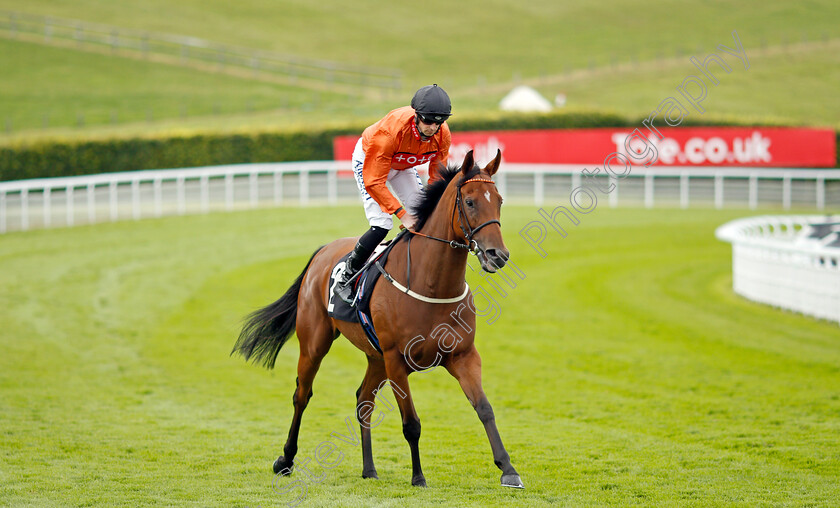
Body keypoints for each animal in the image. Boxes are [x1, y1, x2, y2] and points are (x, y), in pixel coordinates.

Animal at [230, 150, 520, 488]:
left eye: (499, 200)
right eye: (471, 202)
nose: (498, 254)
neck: (430, 283)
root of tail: (323, 251)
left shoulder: (463, 355)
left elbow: (484, 408)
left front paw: (509, 470)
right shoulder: (396, 360)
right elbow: (411, 423)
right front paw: (418, 477)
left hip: (375, 357)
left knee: (362, 401)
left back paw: (369, 469)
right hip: (315, 343)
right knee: (302, 395)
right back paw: (286, 459)